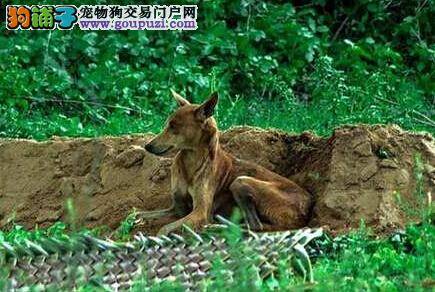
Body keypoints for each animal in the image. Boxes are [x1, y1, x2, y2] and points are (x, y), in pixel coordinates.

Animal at [141, 90, 312, 236]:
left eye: (173, 127)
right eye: (167, 124)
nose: (147, 146)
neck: (191, 163)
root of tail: (308, 207)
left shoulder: (200, 212)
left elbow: (163, 229)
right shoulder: (176, 209)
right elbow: (141, 213)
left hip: (240, 181)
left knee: (255, 226)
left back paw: (215, 227)